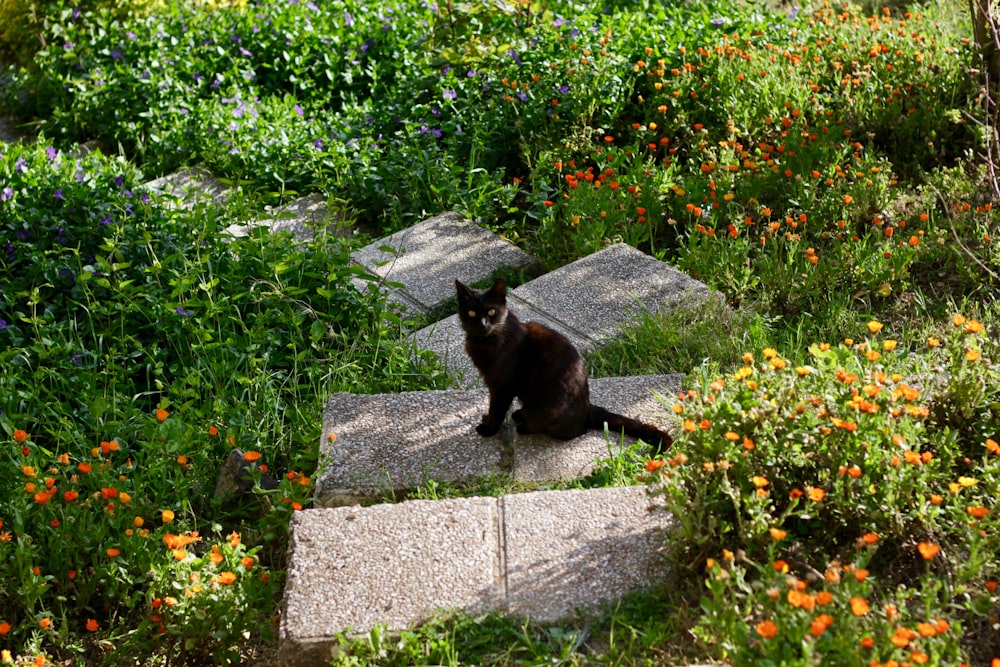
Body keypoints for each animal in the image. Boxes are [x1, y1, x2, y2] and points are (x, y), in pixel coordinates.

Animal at [456, 276, 672, 454]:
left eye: (491, 311)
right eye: (472, 313)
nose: (483, 324)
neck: (484, 341)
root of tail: (588, 408)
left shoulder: (502, 385)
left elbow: (497, 408)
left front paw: (489, 429)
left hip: (548, 410)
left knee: (574, 431)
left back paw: (524, 425)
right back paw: (520, 414)